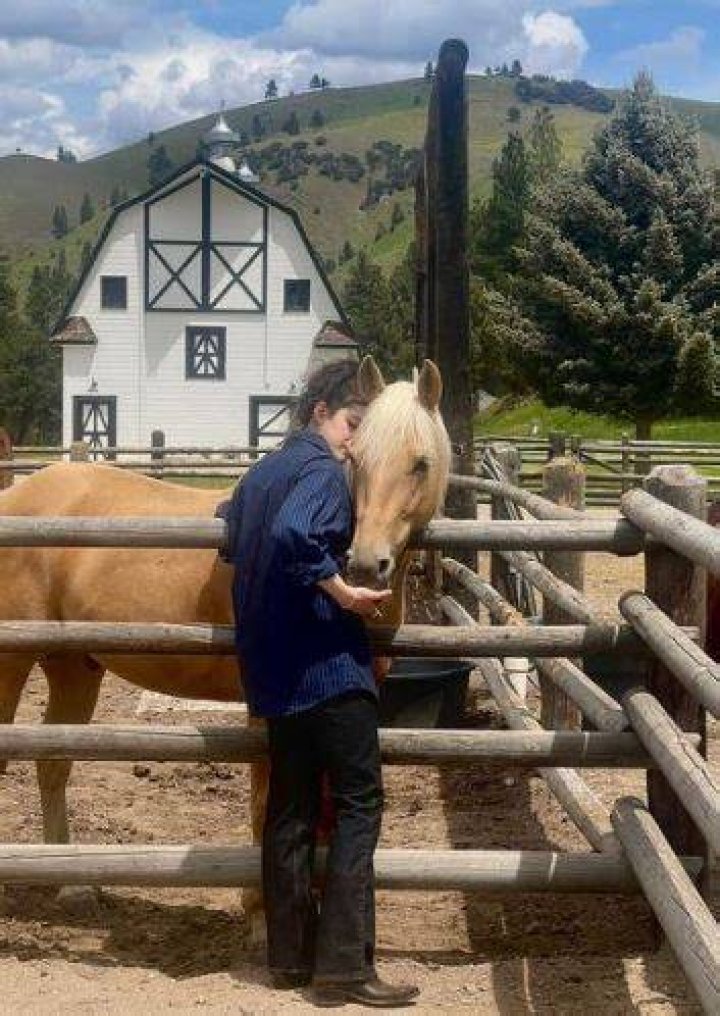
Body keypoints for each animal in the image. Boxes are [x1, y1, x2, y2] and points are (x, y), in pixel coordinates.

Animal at [0, 355, 450, 934]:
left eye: (420, 462)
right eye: (357, 456)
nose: (366, 566)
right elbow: (266, 800)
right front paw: (262, 916)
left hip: (73, 667)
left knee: (52, 763)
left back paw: (73, 887)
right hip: (12, 664)